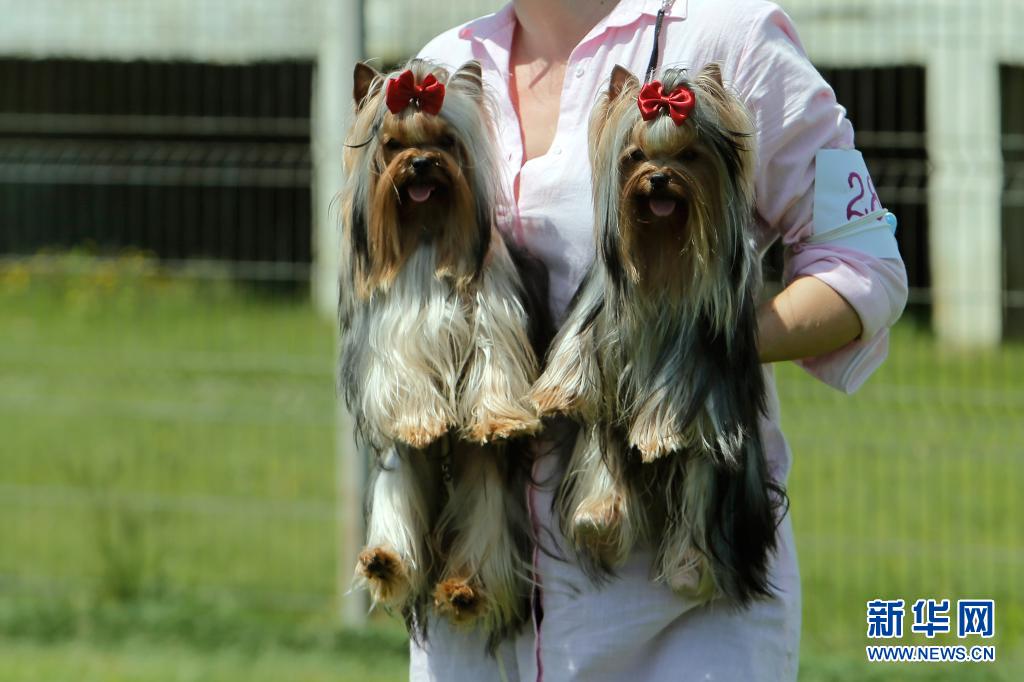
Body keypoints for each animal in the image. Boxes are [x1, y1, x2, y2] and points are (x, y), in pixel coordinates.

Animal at [338, 59, 549, 645]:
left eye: (446, 141)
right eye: (391, 144)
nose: (421, 164)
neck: (428, 234)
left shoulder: (493, 317)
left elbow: (496, 368)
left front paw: (501, 420)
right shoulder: (395, 335)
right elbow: (405, 380)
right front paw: (421, 423)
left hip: (485, 481)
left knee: (484, 518)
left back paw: (465, 588)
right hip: (397, 474)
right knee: (399, 502)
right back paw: (385, 563)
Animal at [529, 63, 783, 604]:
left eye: (689, 155)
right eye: (634, 156)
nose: (659, 179)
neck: (663, 255)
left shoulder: (703, 346)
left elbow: (674, 389)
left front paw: (657, 435)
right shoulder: (598, 303)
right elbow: (576, 351)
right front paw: (557, 392)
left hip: (720, 455)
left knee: (700, 498)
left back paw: (690, 568)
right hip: (604, 438)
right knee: (601, 448)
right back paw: (598, 520)